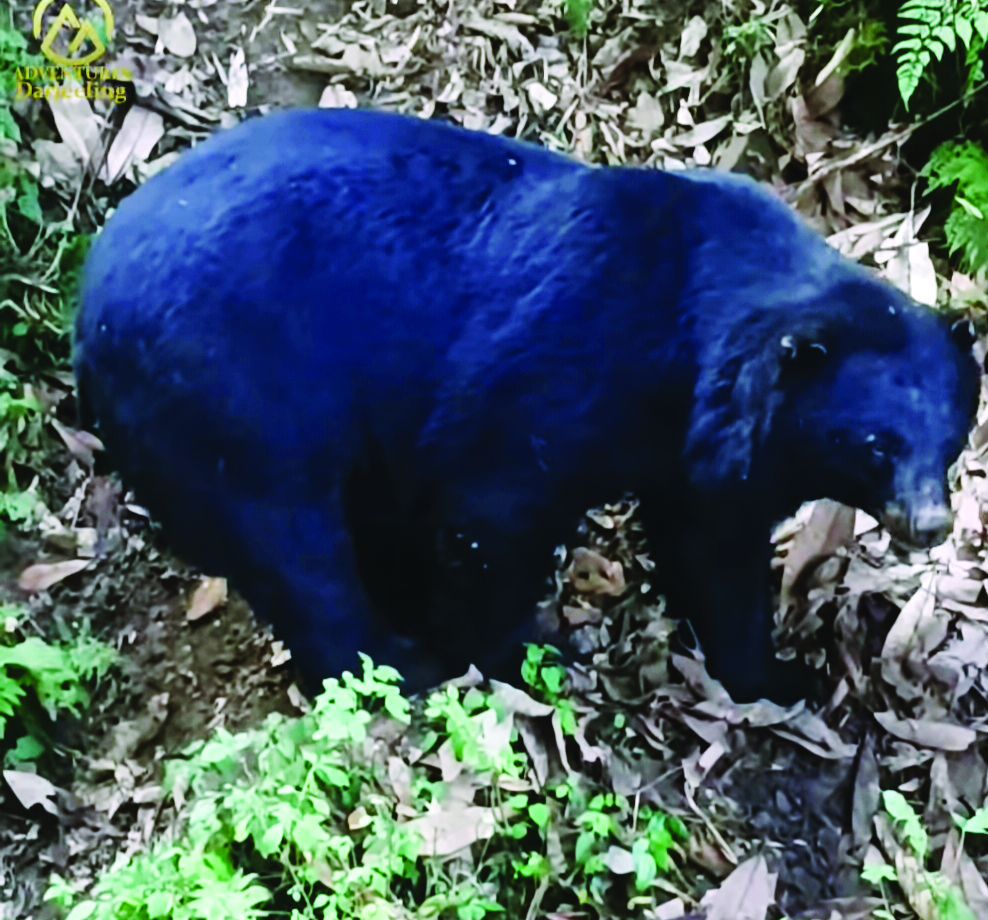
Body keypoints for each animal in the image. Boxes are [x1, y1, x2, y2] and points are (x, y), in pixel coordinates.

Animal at [74, 108, 980, 703]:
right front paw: (525, 654)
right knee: (297, 550)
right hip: (235, 403)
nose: (930, 523)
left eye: (949, 444)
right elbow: (487, 517)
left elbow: (713, 552)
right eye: (874, 443)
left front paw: (780, 675)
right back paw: (398, 665)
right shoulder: (548, 385)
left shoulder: (694, 449)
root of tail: (89, 316)